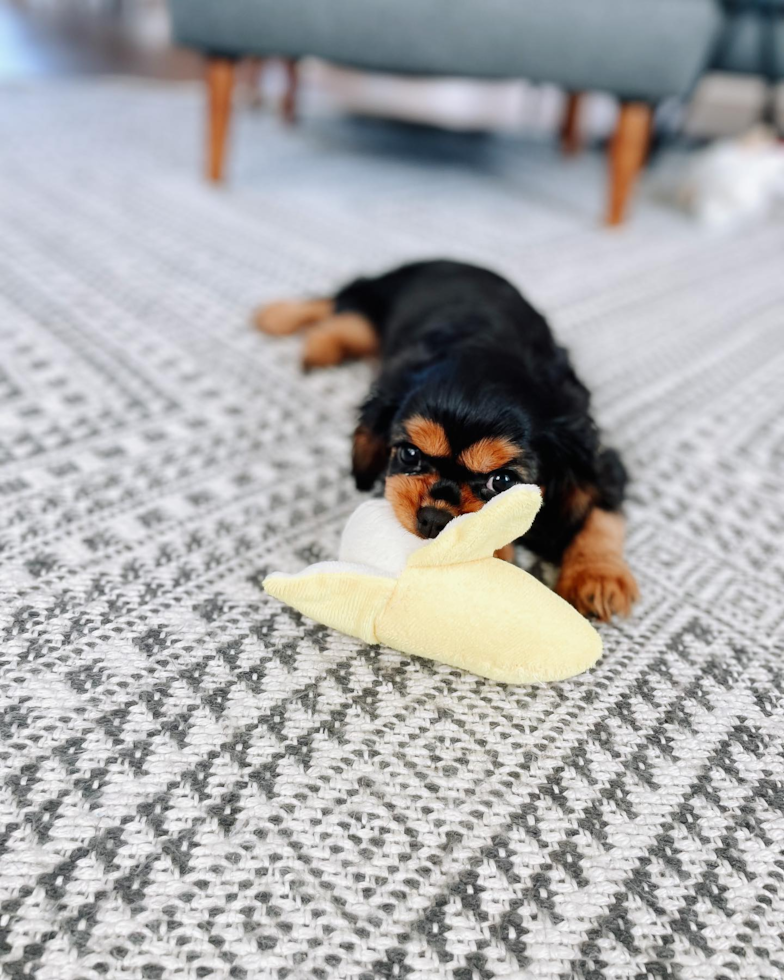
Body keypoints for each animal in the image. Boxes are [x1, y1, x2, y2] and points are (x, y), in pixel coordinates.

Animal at [258, 260, 636, 620]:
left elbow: (601, 514)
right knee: (343, 307)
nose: (434, 520)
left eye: (502, 481)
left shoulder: (597, 457)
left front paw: (597, 577)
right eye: (409, 455)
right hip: (378, 298)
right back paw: (294, 327)